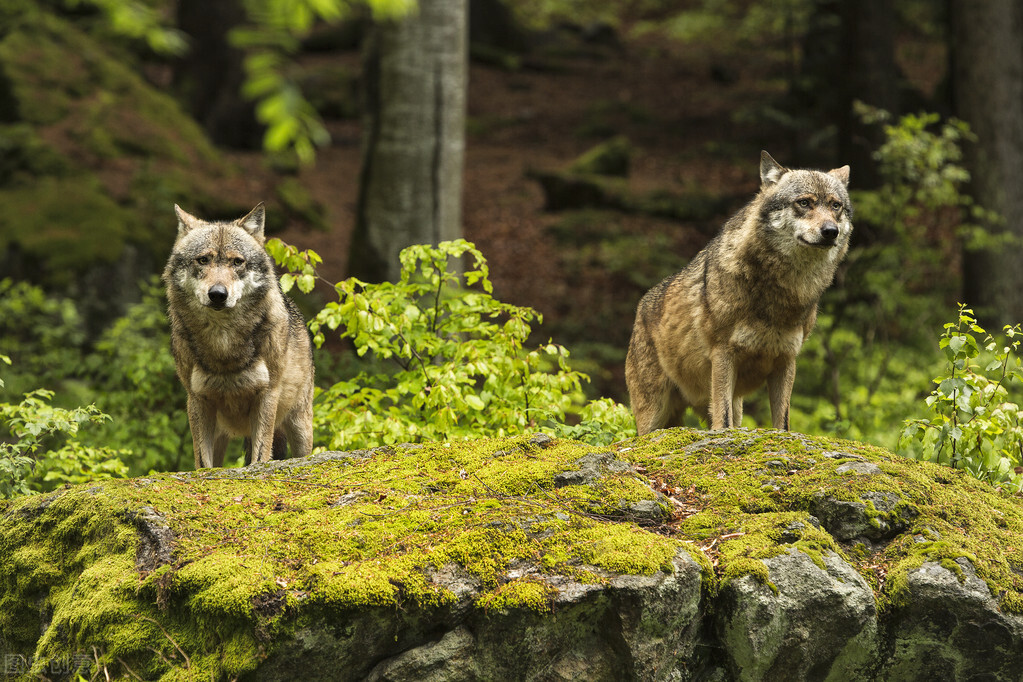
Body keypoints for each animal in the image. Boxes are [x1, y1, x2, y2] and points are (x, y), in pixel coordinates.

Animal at [163, 202, 313, 470]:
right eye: (203, 259)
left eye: (237, 262)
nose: (218, 294)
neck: (223, 343)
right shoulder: (197, 399)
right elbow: (203, 462)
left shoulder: (267, 395)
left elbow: (260, 456)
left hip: (300, 426)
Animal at [621, 152, 855, 435]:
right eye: (804, 203)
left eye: (835, 206)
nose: (831, 231)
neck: (780, 294)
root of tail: (641, 306)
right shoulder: (723, 355)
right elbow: (723, 422)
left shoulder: (787, 360)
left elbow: (782, 424)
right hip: (653, 417)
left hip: (732, 405)